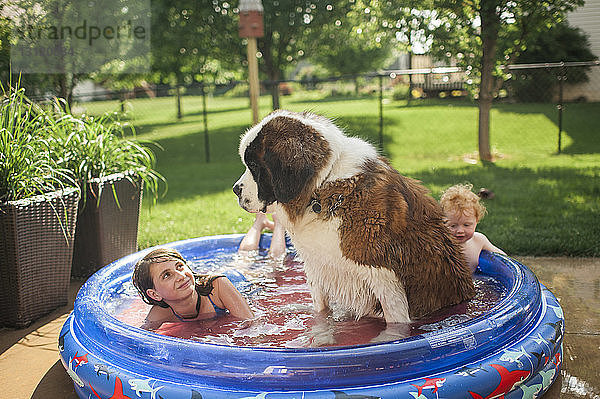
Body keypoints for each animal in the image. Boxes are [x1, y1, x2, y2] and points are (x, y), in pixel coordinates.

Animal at [232, 110, 476, 324]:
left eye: (253, 165)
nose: (235, 190)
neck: (321, 188)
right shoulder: (317, 267)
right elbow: (321, 312)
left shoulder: (383, 275)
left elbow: (396, 322)